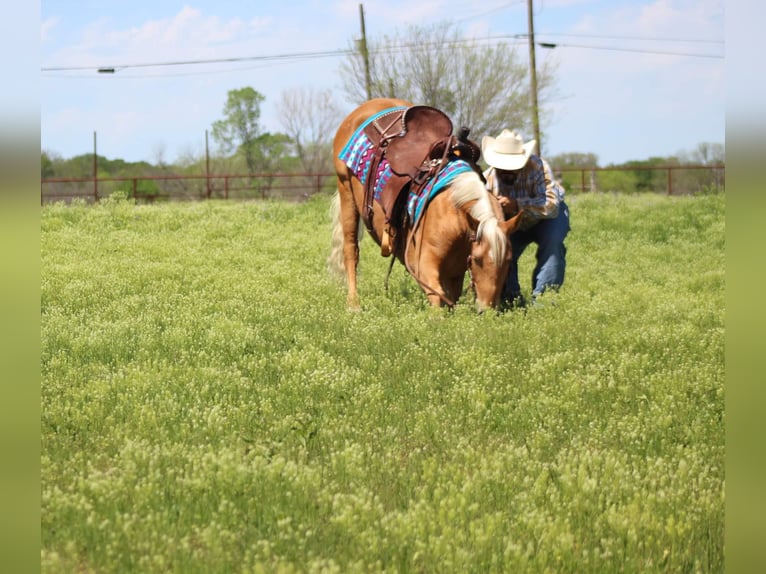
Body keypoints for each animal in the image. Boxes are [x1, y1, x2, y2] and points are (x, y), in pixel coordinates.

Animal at [328, 99, 524, 316]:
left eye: (508, 261)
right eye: (478, 259)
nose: (487, 310)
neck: (455, 214)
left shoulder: (455, 273)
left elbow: (450, 298)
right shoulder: (424, 266)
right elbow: (437, 298)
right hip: (346, 192)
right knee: (351, 251)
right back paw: (354, 305)